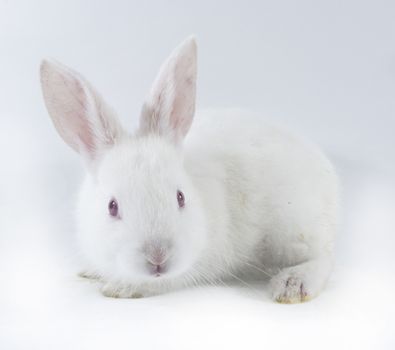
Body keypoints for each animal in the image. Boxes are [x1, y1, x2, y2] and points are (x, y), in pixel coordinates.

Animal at [41, 36, 340, 304]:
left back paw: (293, 285)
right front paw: (92, 272)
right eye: (111, 207)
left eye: (180, 197)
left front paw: (122, 287)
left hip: (295, 227)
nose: (158, 258)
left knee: (323, 258)